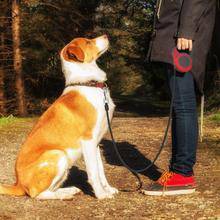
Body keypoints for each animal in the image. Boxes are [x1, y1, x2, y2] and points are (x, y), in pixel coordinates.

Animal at [0, 35, 118, 199]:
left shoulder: (96, 143)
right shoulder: (88, 141)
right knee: (37, 194)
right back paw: (64, 195)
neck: (88, 84)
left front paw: (108, 189)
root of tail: (18, 184)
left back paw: (69, 190)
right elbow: (94, 173)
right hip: (58, 154)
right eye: (88, 42)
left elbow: (101, 171)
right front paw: (101, 195)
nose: (106, 35)